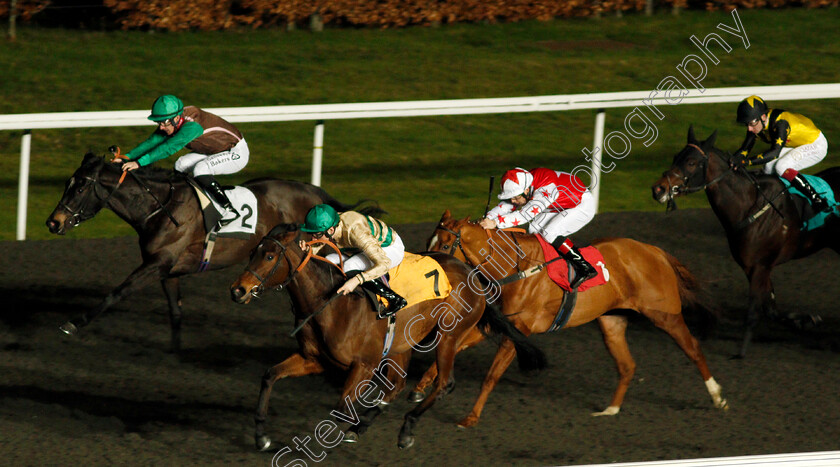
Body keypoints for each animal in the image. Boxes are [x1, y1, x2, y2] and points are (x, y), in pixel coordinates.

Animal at [42, 153, 364, 352]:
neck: (161, 207)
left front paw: (73, 323)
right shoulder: (167, 269)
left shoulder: (157, 263)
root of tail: (316, 194)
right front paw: (175, 351)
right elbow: (175, 310)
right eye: (67, 183)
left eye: (80, 187)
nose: (53, 222)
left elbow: (116, 292)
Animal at [230, 225, 544, 452]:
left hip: (448, 336)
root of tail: (473, 274)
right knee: (396, 386)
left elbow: (341, 408)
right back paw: (361, 428)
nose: (237, 290)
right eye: (252, 252)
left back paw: (406, 430)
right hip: (401, 345)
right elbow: (270, 376)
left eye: (270, 256)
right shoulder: (314, 359)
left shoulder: (363, 365)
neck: (330, 302)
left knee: (444, 383)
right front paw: (261, 436)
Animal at [418, 210, 728, 430]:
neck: (514, 268)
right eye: (429, 240)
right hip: (612, 322)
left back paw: (717, 396)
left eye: (445, 243)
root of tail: (654, 251)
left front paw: (470, 417)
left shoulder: (519, 329)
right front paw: (423, 387)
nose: (428, 270)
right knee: (627, 366)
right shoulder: (502, 324)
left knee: (693, 348)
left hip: (664, 315)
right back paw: (610, 410)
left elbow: (491, 376)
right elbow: (454, 348)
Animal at [648, 127, 840, 358]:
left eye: (692, 162)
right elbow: (770, 310)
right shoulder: (754, 267)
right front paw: (806, 320)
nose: (658, 189)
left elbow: (754, 312)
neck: (749, 205)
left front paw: (741, 353)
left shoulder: (760, 266)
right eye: (676, 157)